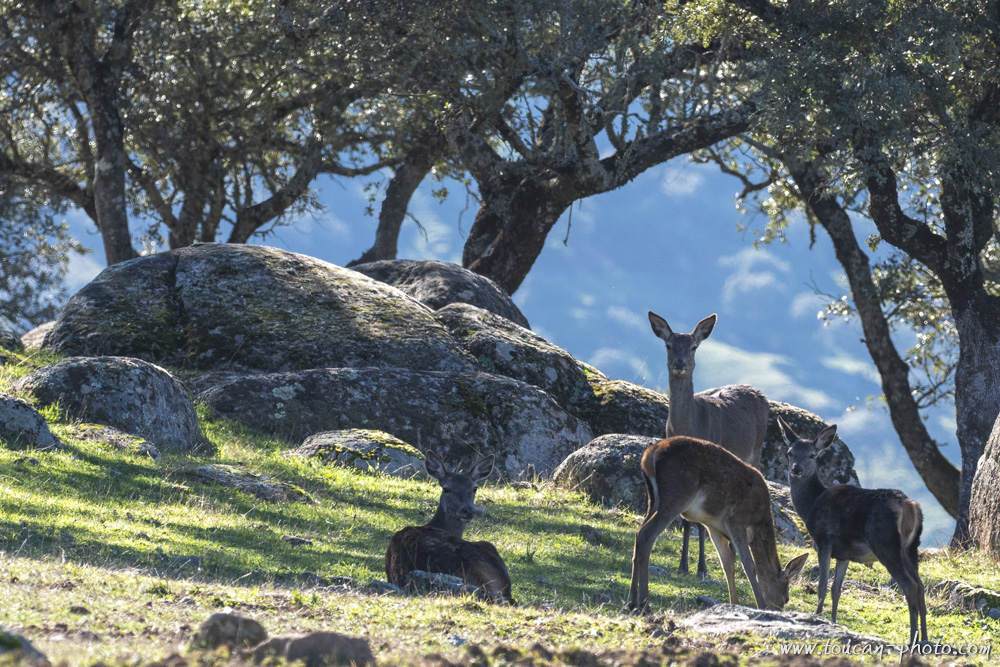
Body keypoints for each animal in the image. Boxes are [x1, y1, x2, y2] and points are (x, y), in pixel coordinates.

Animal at [624, 436, 812, 612]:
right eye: (786, 598)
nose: (778, 610)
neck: (760, 521)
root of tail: (650, 455)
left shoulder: (713, 525)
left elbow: (727, 563)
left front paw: (734, 603)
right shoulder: (735, 520)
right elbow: (749, 565)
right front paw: (761, 605)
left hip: (654, 500)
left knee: (638, 533)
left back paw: (631, 602)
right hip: (676, 495)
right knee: (646, 534)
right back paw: (644, 605)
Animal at [648, 314, 772, 580]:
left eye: (694, 346)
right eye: (668, 345)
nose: (680, 363)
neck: (693, 425)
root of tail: (759, 392)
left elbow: (701, 523)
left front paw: (702, 569)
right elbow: (686, 520)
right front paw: (683, 566)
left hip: (755, 452)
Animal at [780, 418, 928, 648]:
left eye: (812, 455)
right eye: (790, 453)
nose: (796, 469)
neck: (811, 504)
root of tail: (910, 506)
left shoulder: (824, 540)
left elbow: (822, 585)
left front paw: (817, 617)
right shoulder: (844, 554)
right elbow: (836, 589)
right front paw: (832, 623)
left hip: (885, 543)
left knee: (910, 586)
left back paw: (912, 638)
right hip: (910, 549)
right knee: (920, 586)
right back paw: (925, 639)